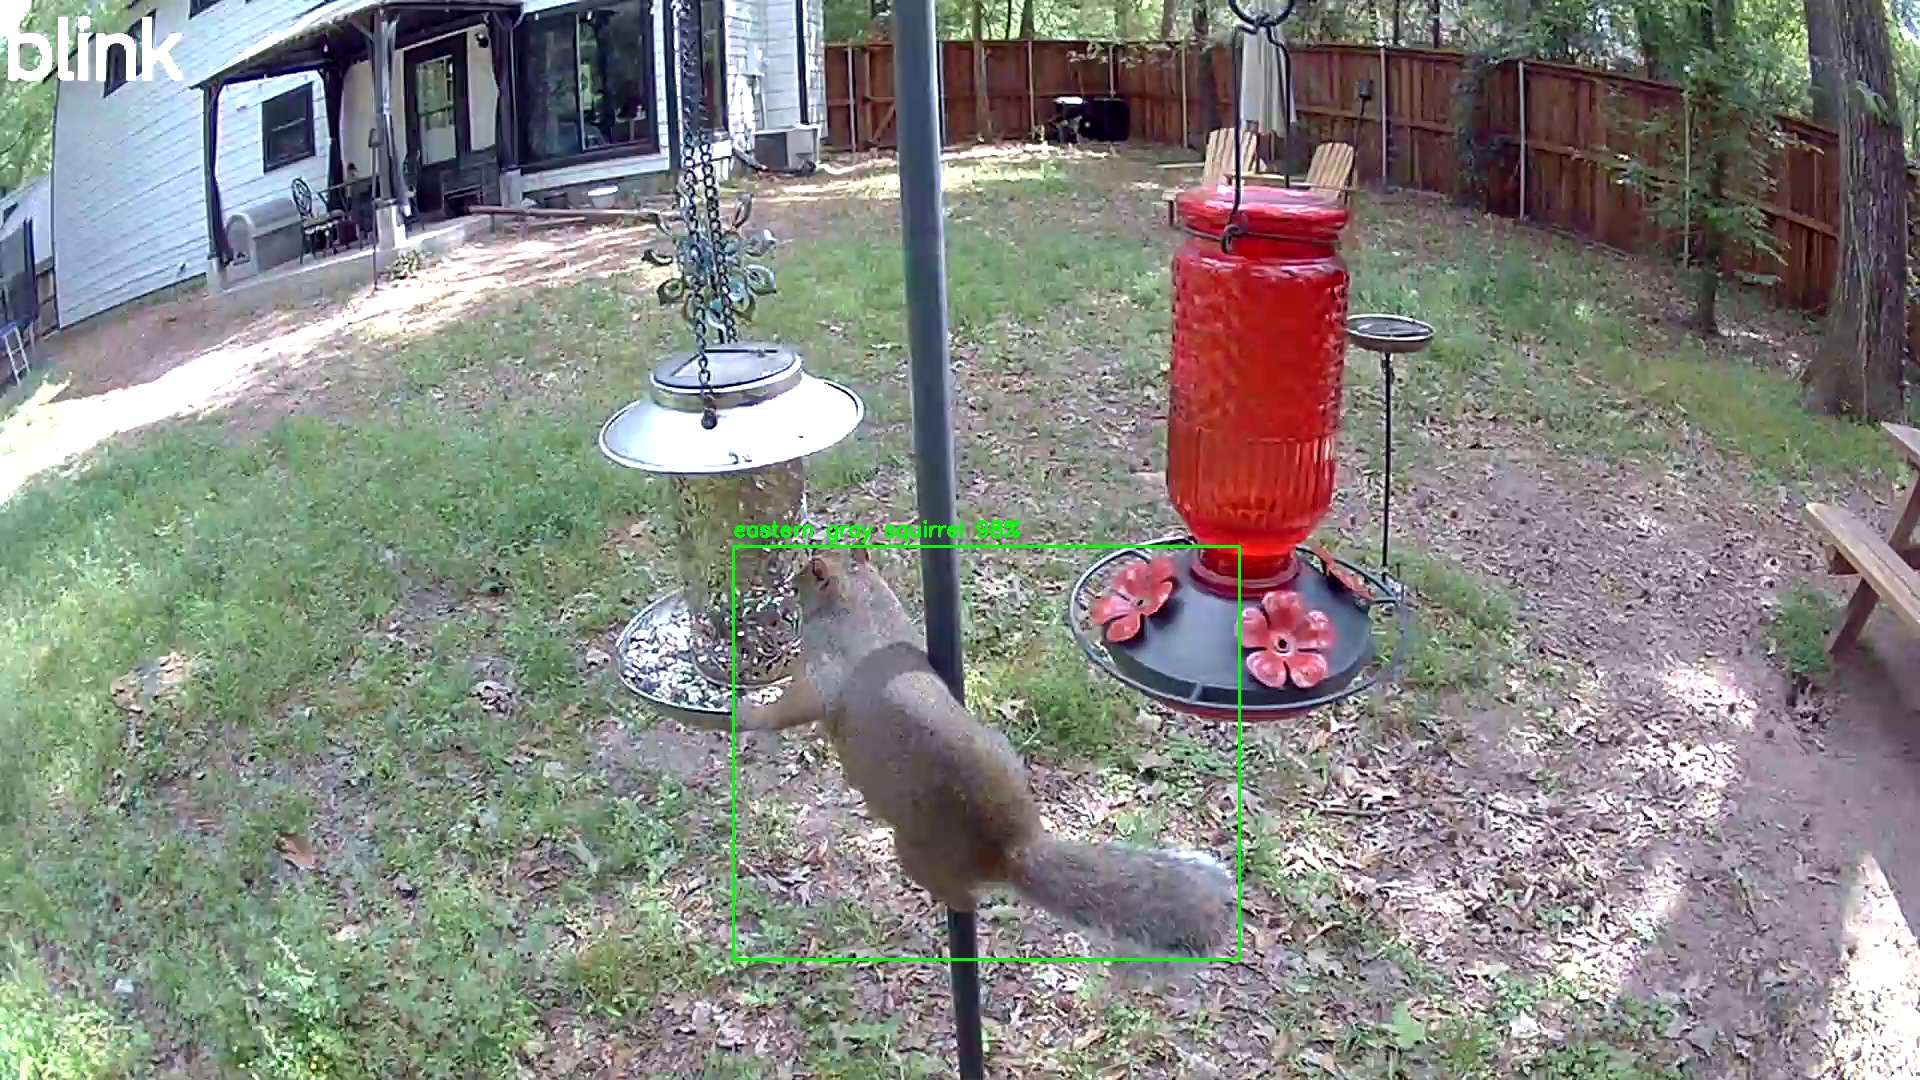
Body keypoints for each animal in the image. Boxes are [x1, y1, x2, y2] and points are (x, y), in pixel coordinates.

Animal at [736, 549, 1236, 958]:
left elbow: (794, 706)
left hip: (915, 850)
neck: (861, 603)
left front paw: (751, 713)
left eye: (809, 570)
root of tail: (1010, 848)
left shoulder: (822, 668)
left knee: (960, 895)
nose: (790, 581)